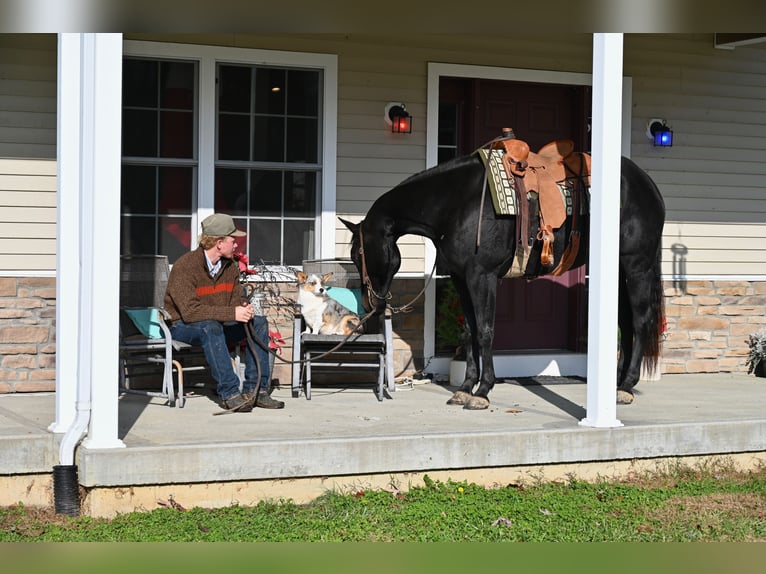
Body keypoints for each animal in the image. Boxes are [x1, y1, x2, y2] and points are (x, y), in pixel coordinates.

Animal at [341, 140, 665, 410]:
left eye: (359, 254)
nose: (370, 304)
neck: (456, 202)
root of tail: (648, 184)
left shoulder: (482, 276)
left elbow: (485, 331)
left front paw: (483, 391)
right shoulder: (461, 279)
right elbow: (470, 331)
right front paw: (465, 388)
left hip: (636, 265)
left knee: (641, 321)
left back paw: (626, 387)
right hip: (619, 270)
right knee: (626, 323)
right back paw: (617, 386)